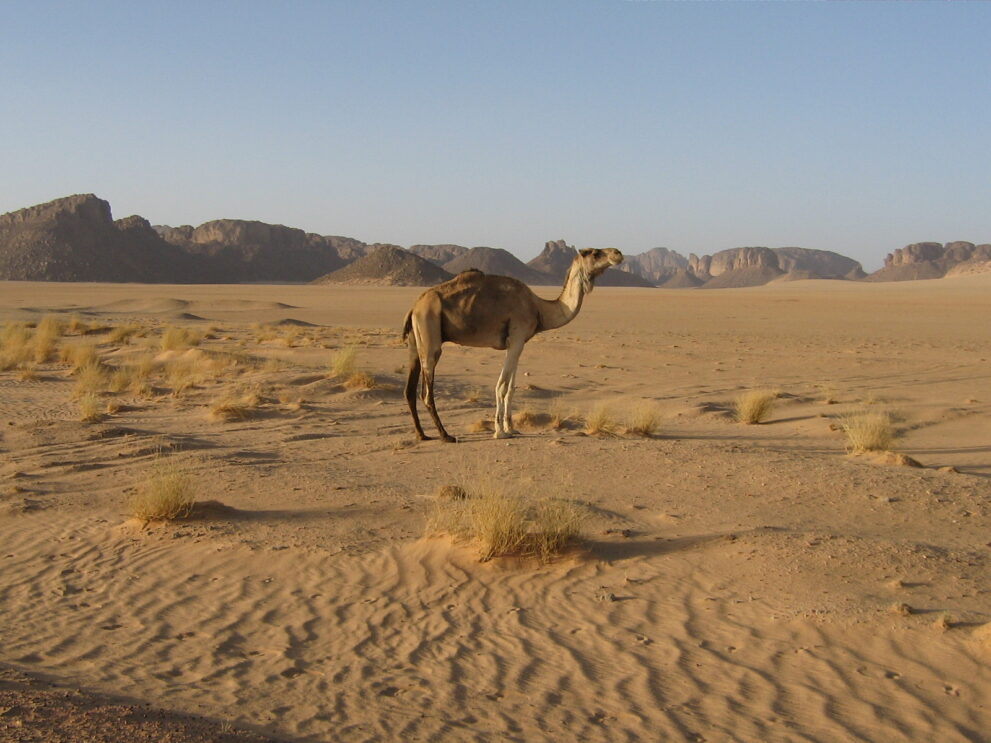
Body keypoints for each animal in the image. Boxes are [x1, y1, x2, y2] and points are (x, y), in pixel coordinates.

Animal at [402, 247, 623, 441]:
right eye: (595, 252)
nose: (618, 253)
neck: (539, 308)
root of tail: (414, 307)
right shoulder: (516, 338)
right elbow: (501, 386)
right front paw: (500, 432)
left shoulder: (517, 344)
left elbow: (511, 388)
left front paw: (512, 428)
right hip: (430, 331)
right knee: (426, 392)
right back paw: (445, 435)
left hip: (415, 342)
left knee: (410, 390)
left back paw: (423, 435)